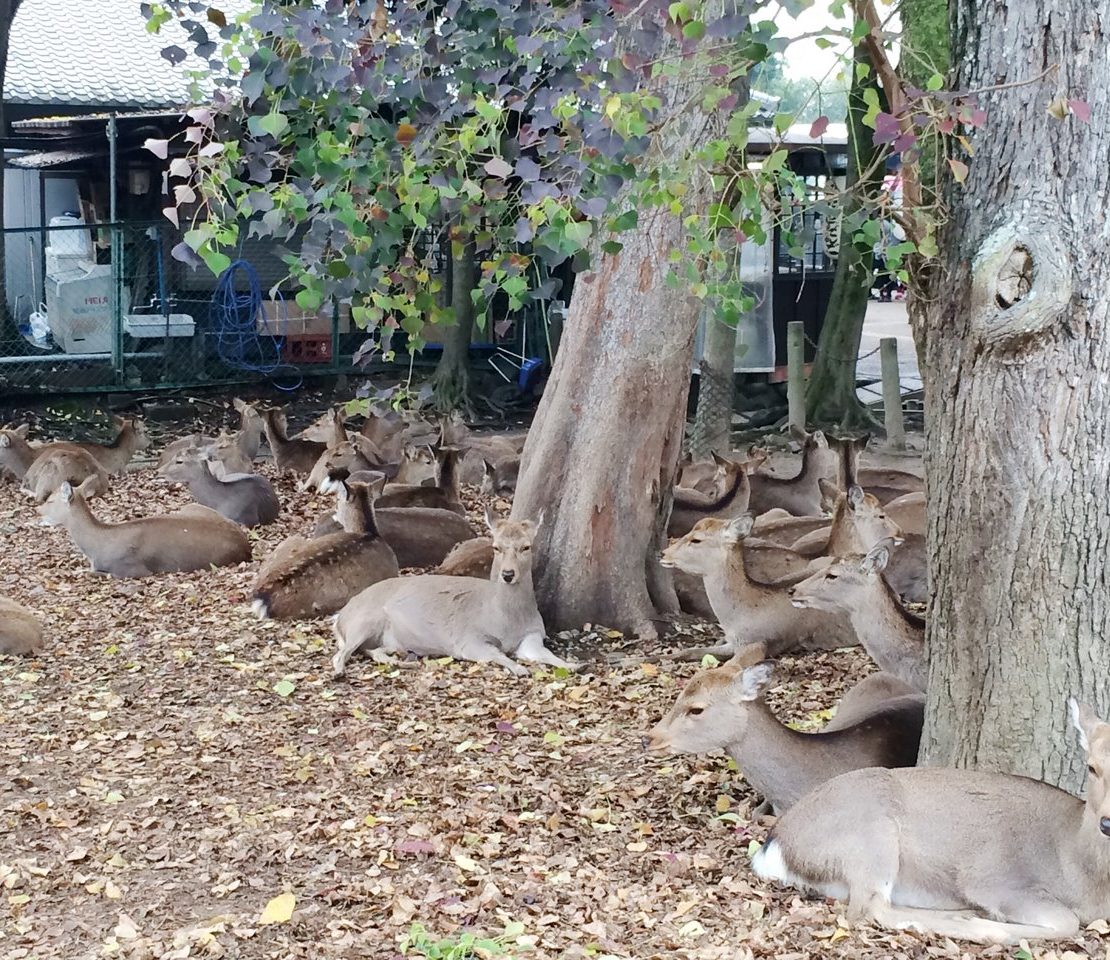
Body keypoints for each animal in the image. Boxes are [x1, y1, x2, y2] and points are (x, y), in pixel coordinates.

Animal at [332, 510, 573, 677]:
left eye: (526, 547)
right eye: (496, 547)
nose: (507, 574)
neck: (506, 622)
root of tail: (339, 617)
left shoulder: (534, 634)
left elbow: (548, 655)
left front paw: (573, 665)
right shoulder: (468, 638)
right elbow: (498, 654)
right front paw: (520, 670)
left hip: (384, 638)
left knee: (371, 650)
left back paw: (400, 661)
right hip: (363, 621)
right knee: (342, 653)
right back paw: (339, 672)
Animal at [753, 698, 1110, 944]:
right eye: (1091, 766)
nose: (1107, 822)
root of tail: (773, 846)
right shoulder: (993, 879)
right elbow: (1067, 922)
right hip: (872, 836)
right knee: (870, 908)